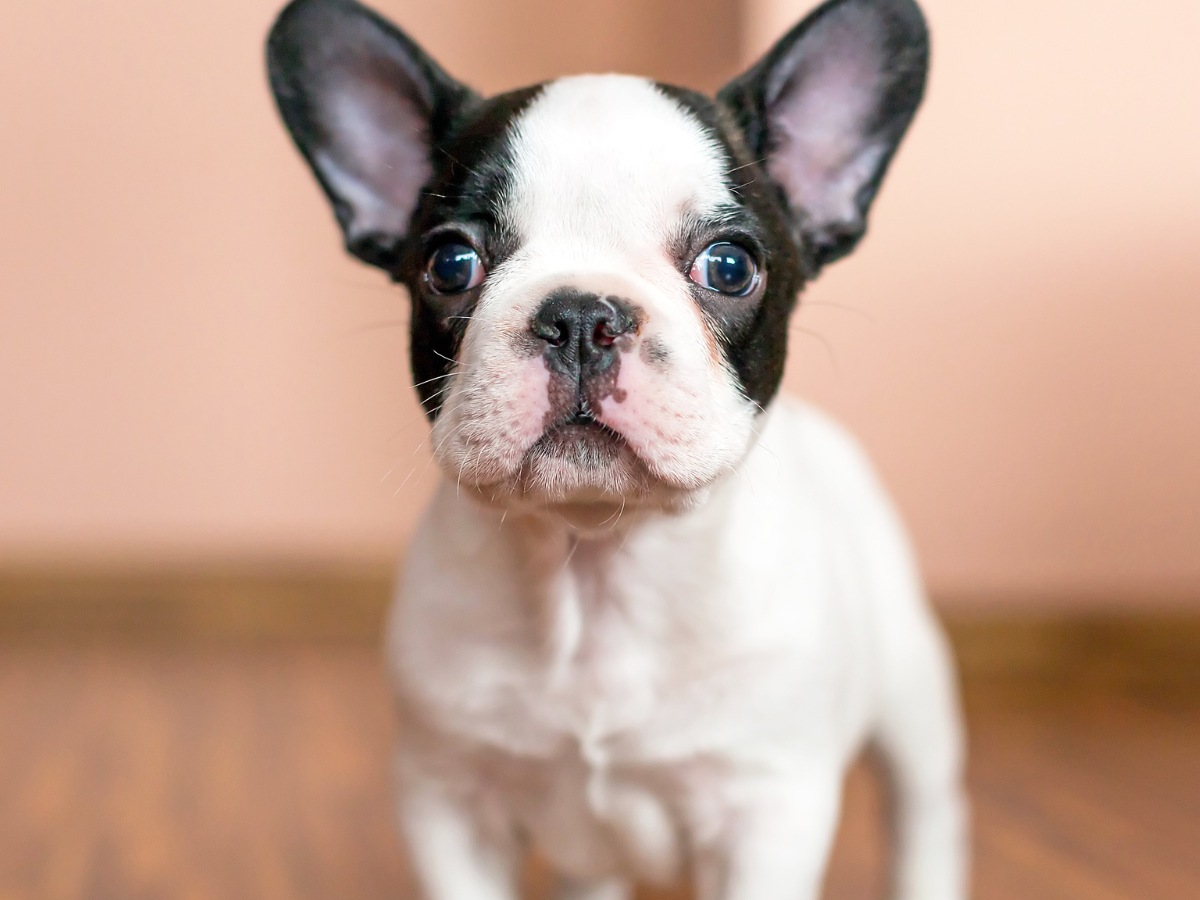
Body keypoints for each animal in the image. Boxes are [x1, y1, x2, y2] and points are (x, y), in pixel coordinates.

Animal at [267, 0, 969, 897]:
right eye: (450, 263)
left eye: (730, 266)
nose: (579, 316)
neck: (595, 570)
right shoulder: (448, 799)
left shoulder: (764, 813)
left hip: (914, 696)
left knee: (926, 808)